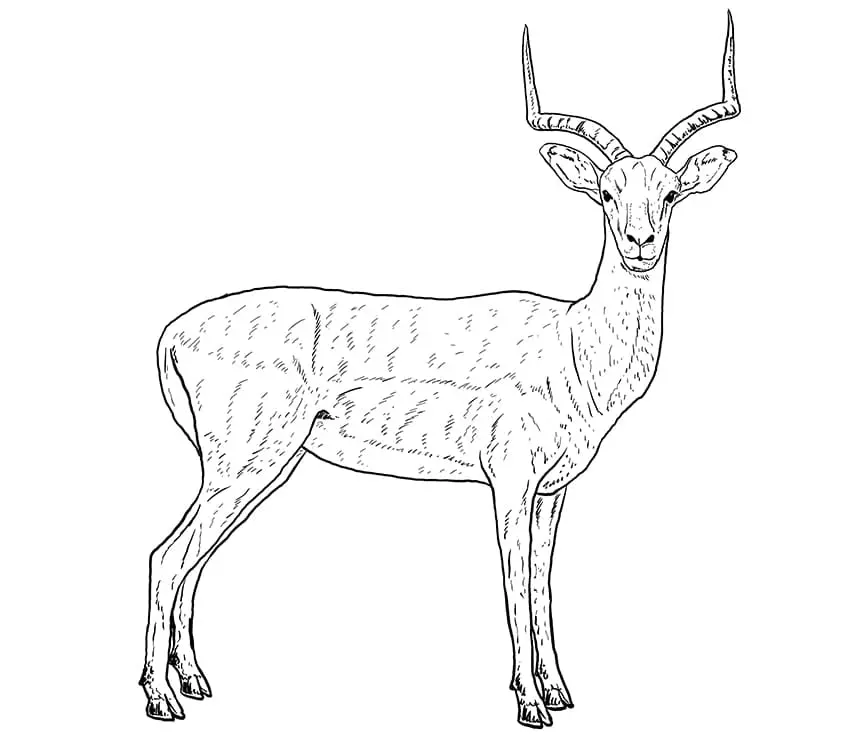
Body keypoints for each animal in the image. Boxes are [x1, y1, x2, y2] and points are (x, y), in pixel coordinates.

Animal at [141, 14, 741, 728]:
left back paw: (195, 682)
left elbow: (543, 584)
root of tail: (173, 331)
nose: (640, 245)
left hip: (246, 470)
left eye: (670, 192)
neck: (573, 348)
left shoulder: (554, 491)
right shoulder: (509, 481)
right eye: (605, 192)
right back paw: (161, 700)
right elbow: (514, 586)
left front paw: (560, 693)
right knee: (167, 557)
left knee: (191, 561)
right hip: (246, 462)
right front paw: (531, 704)